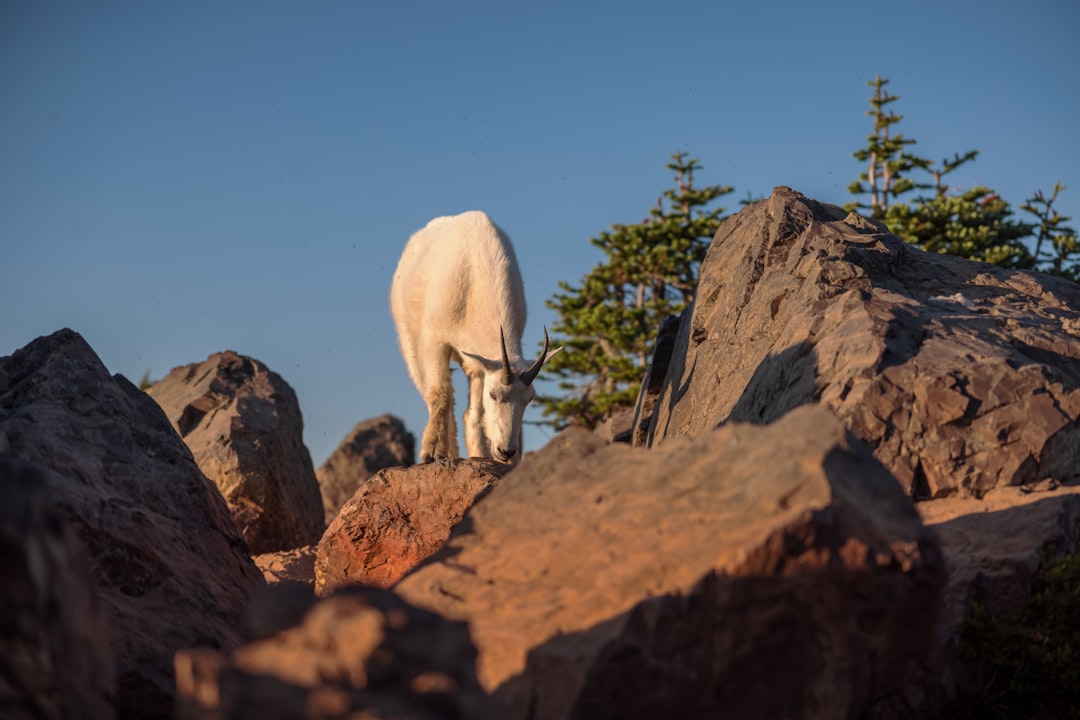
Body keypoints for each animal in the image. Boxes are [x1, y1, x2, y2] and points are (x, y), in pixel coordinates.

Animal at [390, 211, 561, 464]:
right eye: (493, 395)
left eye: (529, 398)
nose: (506, 451)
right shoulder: (435, 342)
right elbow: (440, 394)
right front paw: (431, 452)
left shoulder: (481, 362)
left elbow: (475, 413)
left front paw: (480, 455)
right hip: (410, 341)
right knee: (437, 392)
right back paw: (444, 452)